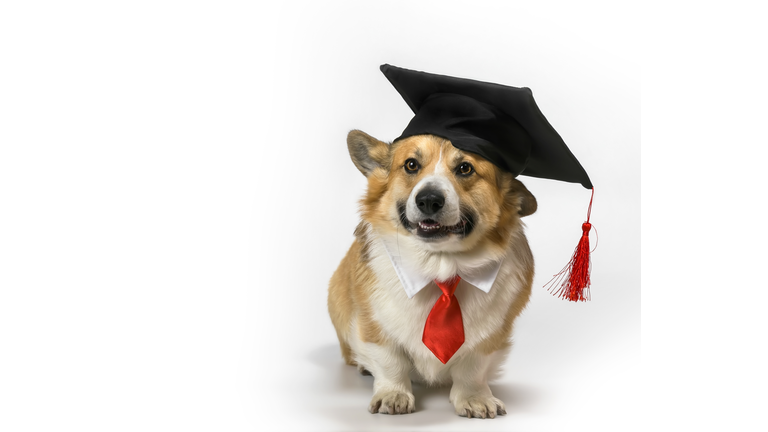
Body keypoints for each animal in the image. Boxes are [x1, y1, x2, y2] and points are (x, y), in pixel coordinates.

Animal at [328, 129, 536, 418]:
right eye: (411, 165)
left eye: (465, 168)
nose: (428, 200)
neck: (441, 268)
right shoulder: (374, 324)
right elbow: (390, 362)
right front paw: (393, 394)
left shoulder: (491, 336)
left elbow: (472, 369)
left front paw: (475, 398)